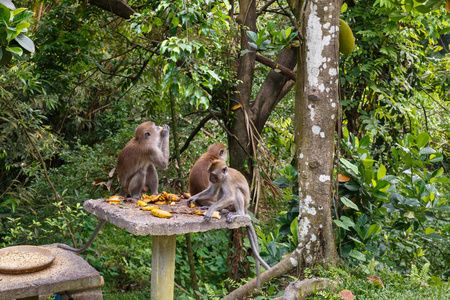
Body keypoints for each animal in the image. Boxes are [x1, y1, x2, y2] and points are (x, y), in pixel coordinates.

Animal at [187, 159, 270, 288]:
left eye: (213, 174)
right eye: (209, 173)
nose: (210, 178)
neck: (224, 177)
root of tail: (246, 209)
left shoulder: (228, 181)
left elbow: (230, 196)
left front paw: (211, 210)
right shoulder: (219, 181)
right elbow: (211, 191)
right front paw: (194, 198)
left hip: (242, 204)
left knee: (235, 191)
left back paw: (237, 214)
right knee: (220, 190)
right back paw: (220, 209)